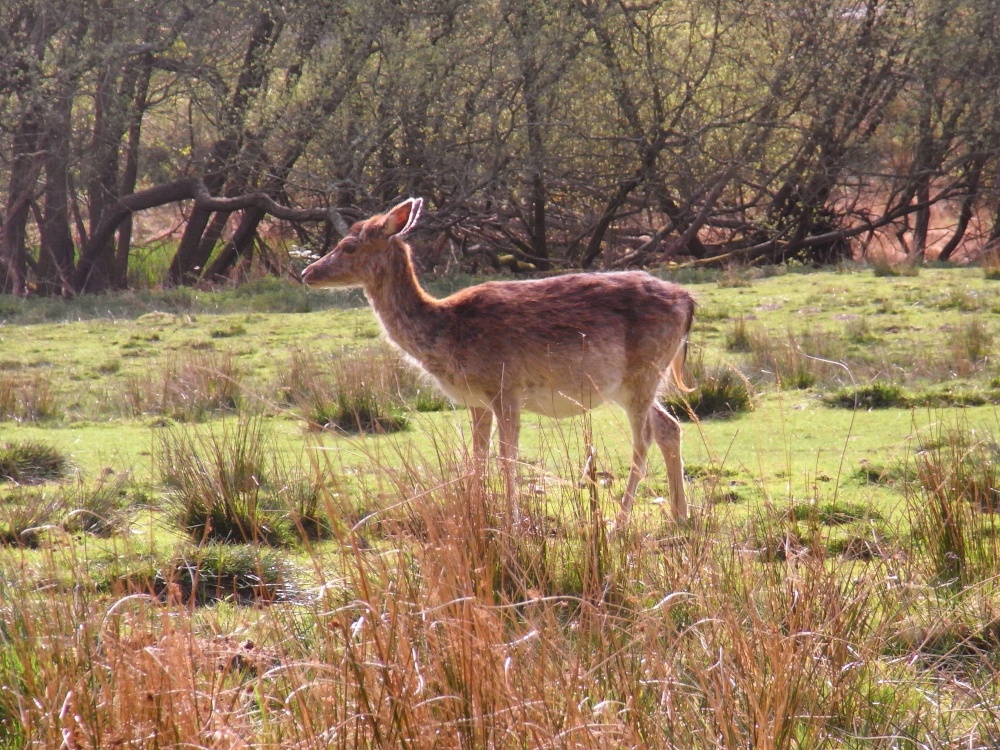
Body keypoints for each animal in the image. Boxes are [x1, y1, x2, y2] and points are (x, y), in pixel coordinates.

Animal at [300, 200, 700, 528]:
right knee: (670, 427)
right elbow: (477, 457)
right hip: (633, 382)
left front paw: (512, 524)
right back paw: (679, 515)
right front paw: (479, 518)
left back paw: (620, 523)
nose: (307, 273)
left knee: (643, 440)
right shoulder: (477, 400)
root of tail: (688, 300)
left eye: (349, 246)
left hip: (644, 370)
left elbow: (507, 457)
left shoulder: (506, 385)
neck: (447, 334)